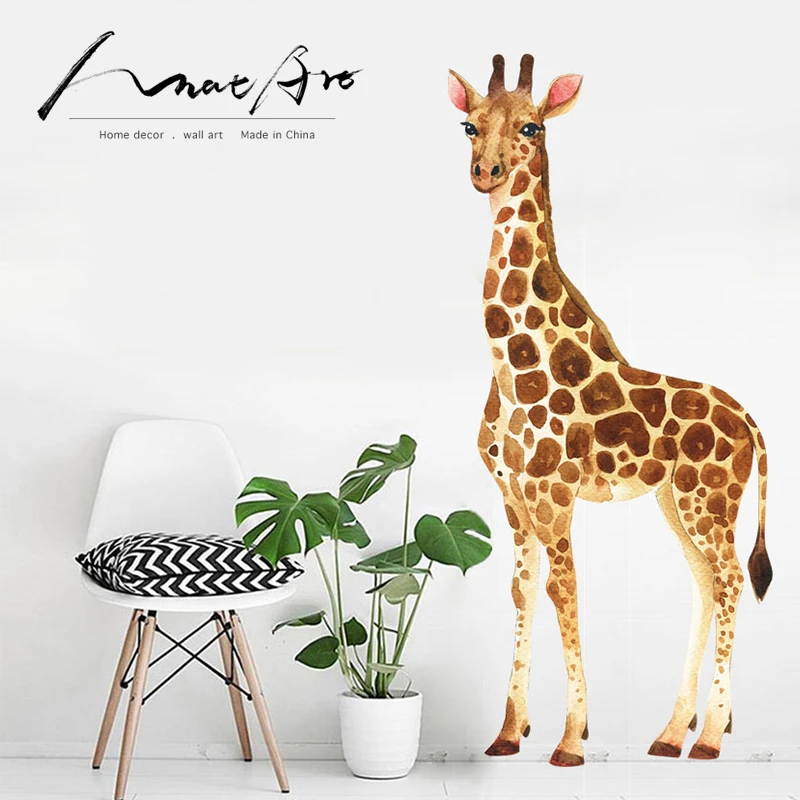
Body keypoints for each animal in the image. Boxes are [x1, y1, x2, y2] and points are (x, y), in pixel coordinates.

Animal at [448, 54, 772, 767]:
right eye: (468, 125)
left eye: (533, 126)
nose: (486, 171)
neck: (509, 364)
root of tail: (753, 425)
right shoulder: (511, 495)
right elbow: (523, 589)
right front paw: (509, 733)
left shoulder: (552, 492)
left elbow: (564, 590)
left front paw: (572, 740)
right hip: (675, 502)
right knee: (706, 580)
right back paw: (671, 732)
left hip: (709, 502)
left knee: (733, 577)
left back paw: (710, 736)